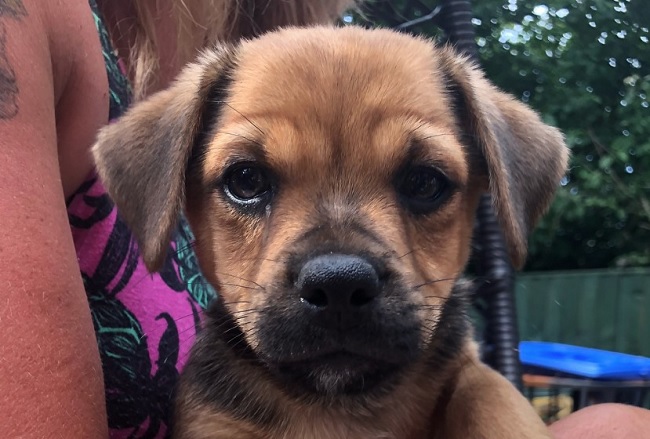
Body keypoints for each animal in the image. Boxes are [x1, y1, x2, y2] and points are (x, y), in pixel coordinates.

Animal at [91, 25, 568, 438]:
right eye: (245, 180)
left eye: (424, 182)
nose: (339, 285)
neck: (339, 407)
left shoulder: (469, 370)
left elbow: (489, 391)